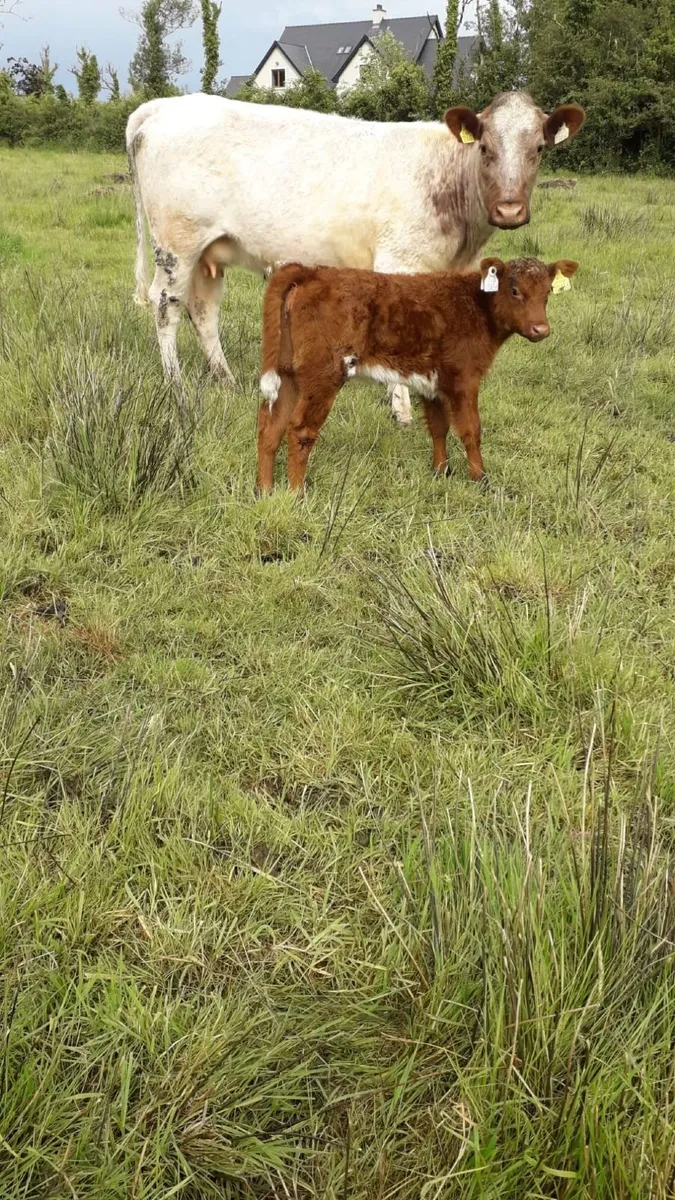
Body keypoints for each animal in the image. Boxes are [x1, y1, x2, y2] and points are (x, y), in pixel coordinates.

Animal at [126, 92, 585, 424]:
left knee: (203, 312)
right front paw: (402, 411)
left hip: (210, 252)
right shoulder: (398, 259)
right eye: (485, 147)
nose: (509, 209)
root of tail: (163, 105)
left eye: (539, 148)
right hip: (177, 244)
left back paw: (227, 381)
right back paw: (176, 387)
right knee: (166, 307)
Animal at [256, 256, 578, 492]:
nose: (541, 329)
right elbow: (471, 430)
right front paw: (480, 479)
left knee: (271, 424)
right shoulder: (464, 378)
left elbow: (438, 427)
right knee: (300, 429)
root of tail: (309, 271)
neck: (475, 305)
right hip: (323, 374)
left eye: (548, 292)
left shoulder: (432, 381)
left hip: (289, 373)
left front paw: (441, 471)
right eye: (514, 290)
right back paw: (297, 494)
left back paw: (266, 490)